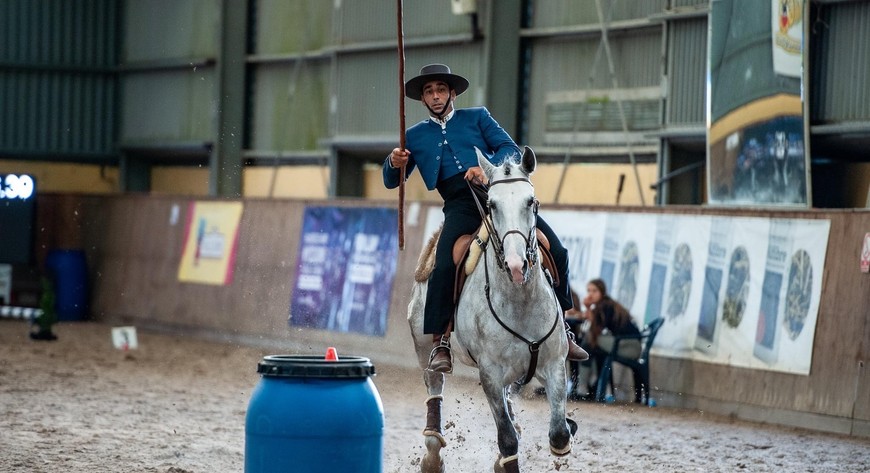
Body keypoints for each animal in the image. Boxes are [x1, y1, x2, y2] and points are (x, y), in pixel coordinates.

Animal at [410, 146, 580, 470]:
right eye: (491, 204)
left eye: (531, 201)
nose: (516, 265)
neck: (520, 300)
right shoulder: (489, 373)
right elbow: (508, 439)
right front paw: (505, 457)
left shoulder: (553, 364)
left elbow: (559, 433)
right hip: (424, 348)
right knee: (434, 388)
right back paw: (433, 456)